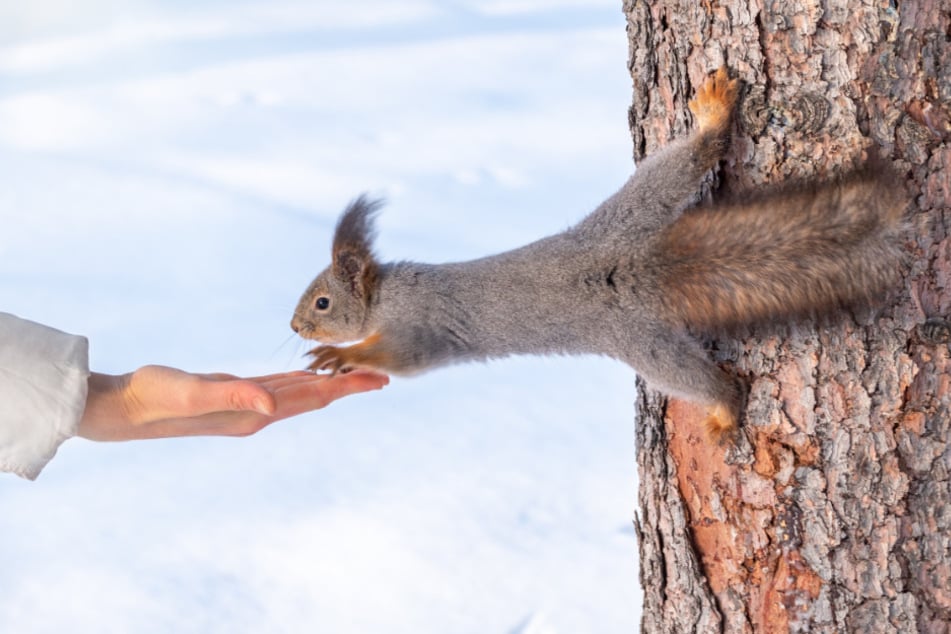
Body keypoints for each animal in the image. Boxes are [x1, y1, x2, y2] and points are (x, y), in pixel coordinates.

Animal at [288, 66, 908, 436]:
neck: (386, 296)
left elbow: (403, 356)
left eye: (321, 302)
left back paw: (723, 409)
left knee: (706, 382)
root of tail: (634, 270)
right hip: (635, 214)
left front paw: (343, 355)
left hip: (644, 345)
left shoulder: (421, 325)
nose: (294, 327)